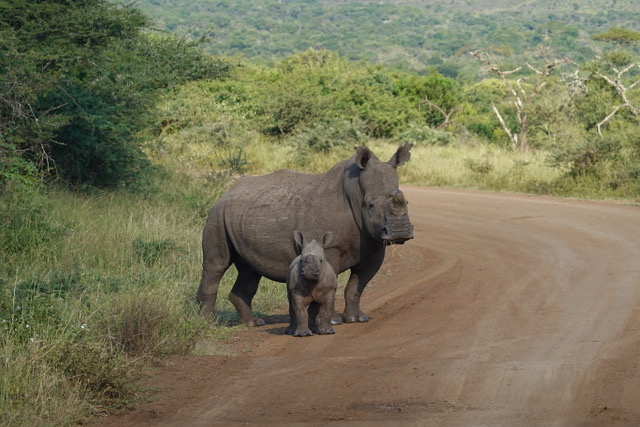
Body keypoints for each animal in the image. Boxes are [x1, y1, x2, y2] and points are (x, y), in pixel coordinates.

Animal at [197, 143, 414, 326]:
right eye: (371, 205)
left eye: (407, 202)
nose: (400, 232)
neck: (356, 192)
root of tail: (226, 192)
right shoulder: (330, 246)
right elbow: (333, 281)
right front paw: (333, 321)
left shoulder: (374, 245)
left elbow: (356, 286)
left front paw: (356, 319)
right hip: (217, 214)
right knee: (217, 265)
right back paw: (209, 323)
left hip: (244, 216)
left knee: (250, 271)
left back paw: (252, 323)